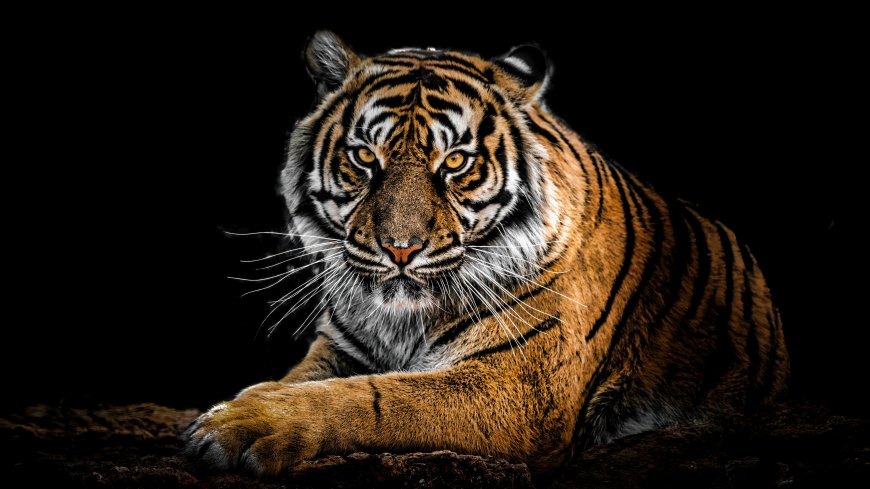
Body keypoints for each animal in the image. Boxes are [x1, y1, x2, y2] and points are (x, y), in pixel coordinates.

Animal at [185, 31, 789, 476]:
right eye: (364, 157)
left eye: (455, 162)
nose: (399, 249)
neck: (402, 321)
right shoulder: (339, 349)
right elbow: (306, 381)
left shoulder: (518, 387)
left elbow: (374, 400)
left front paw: (240, 424)